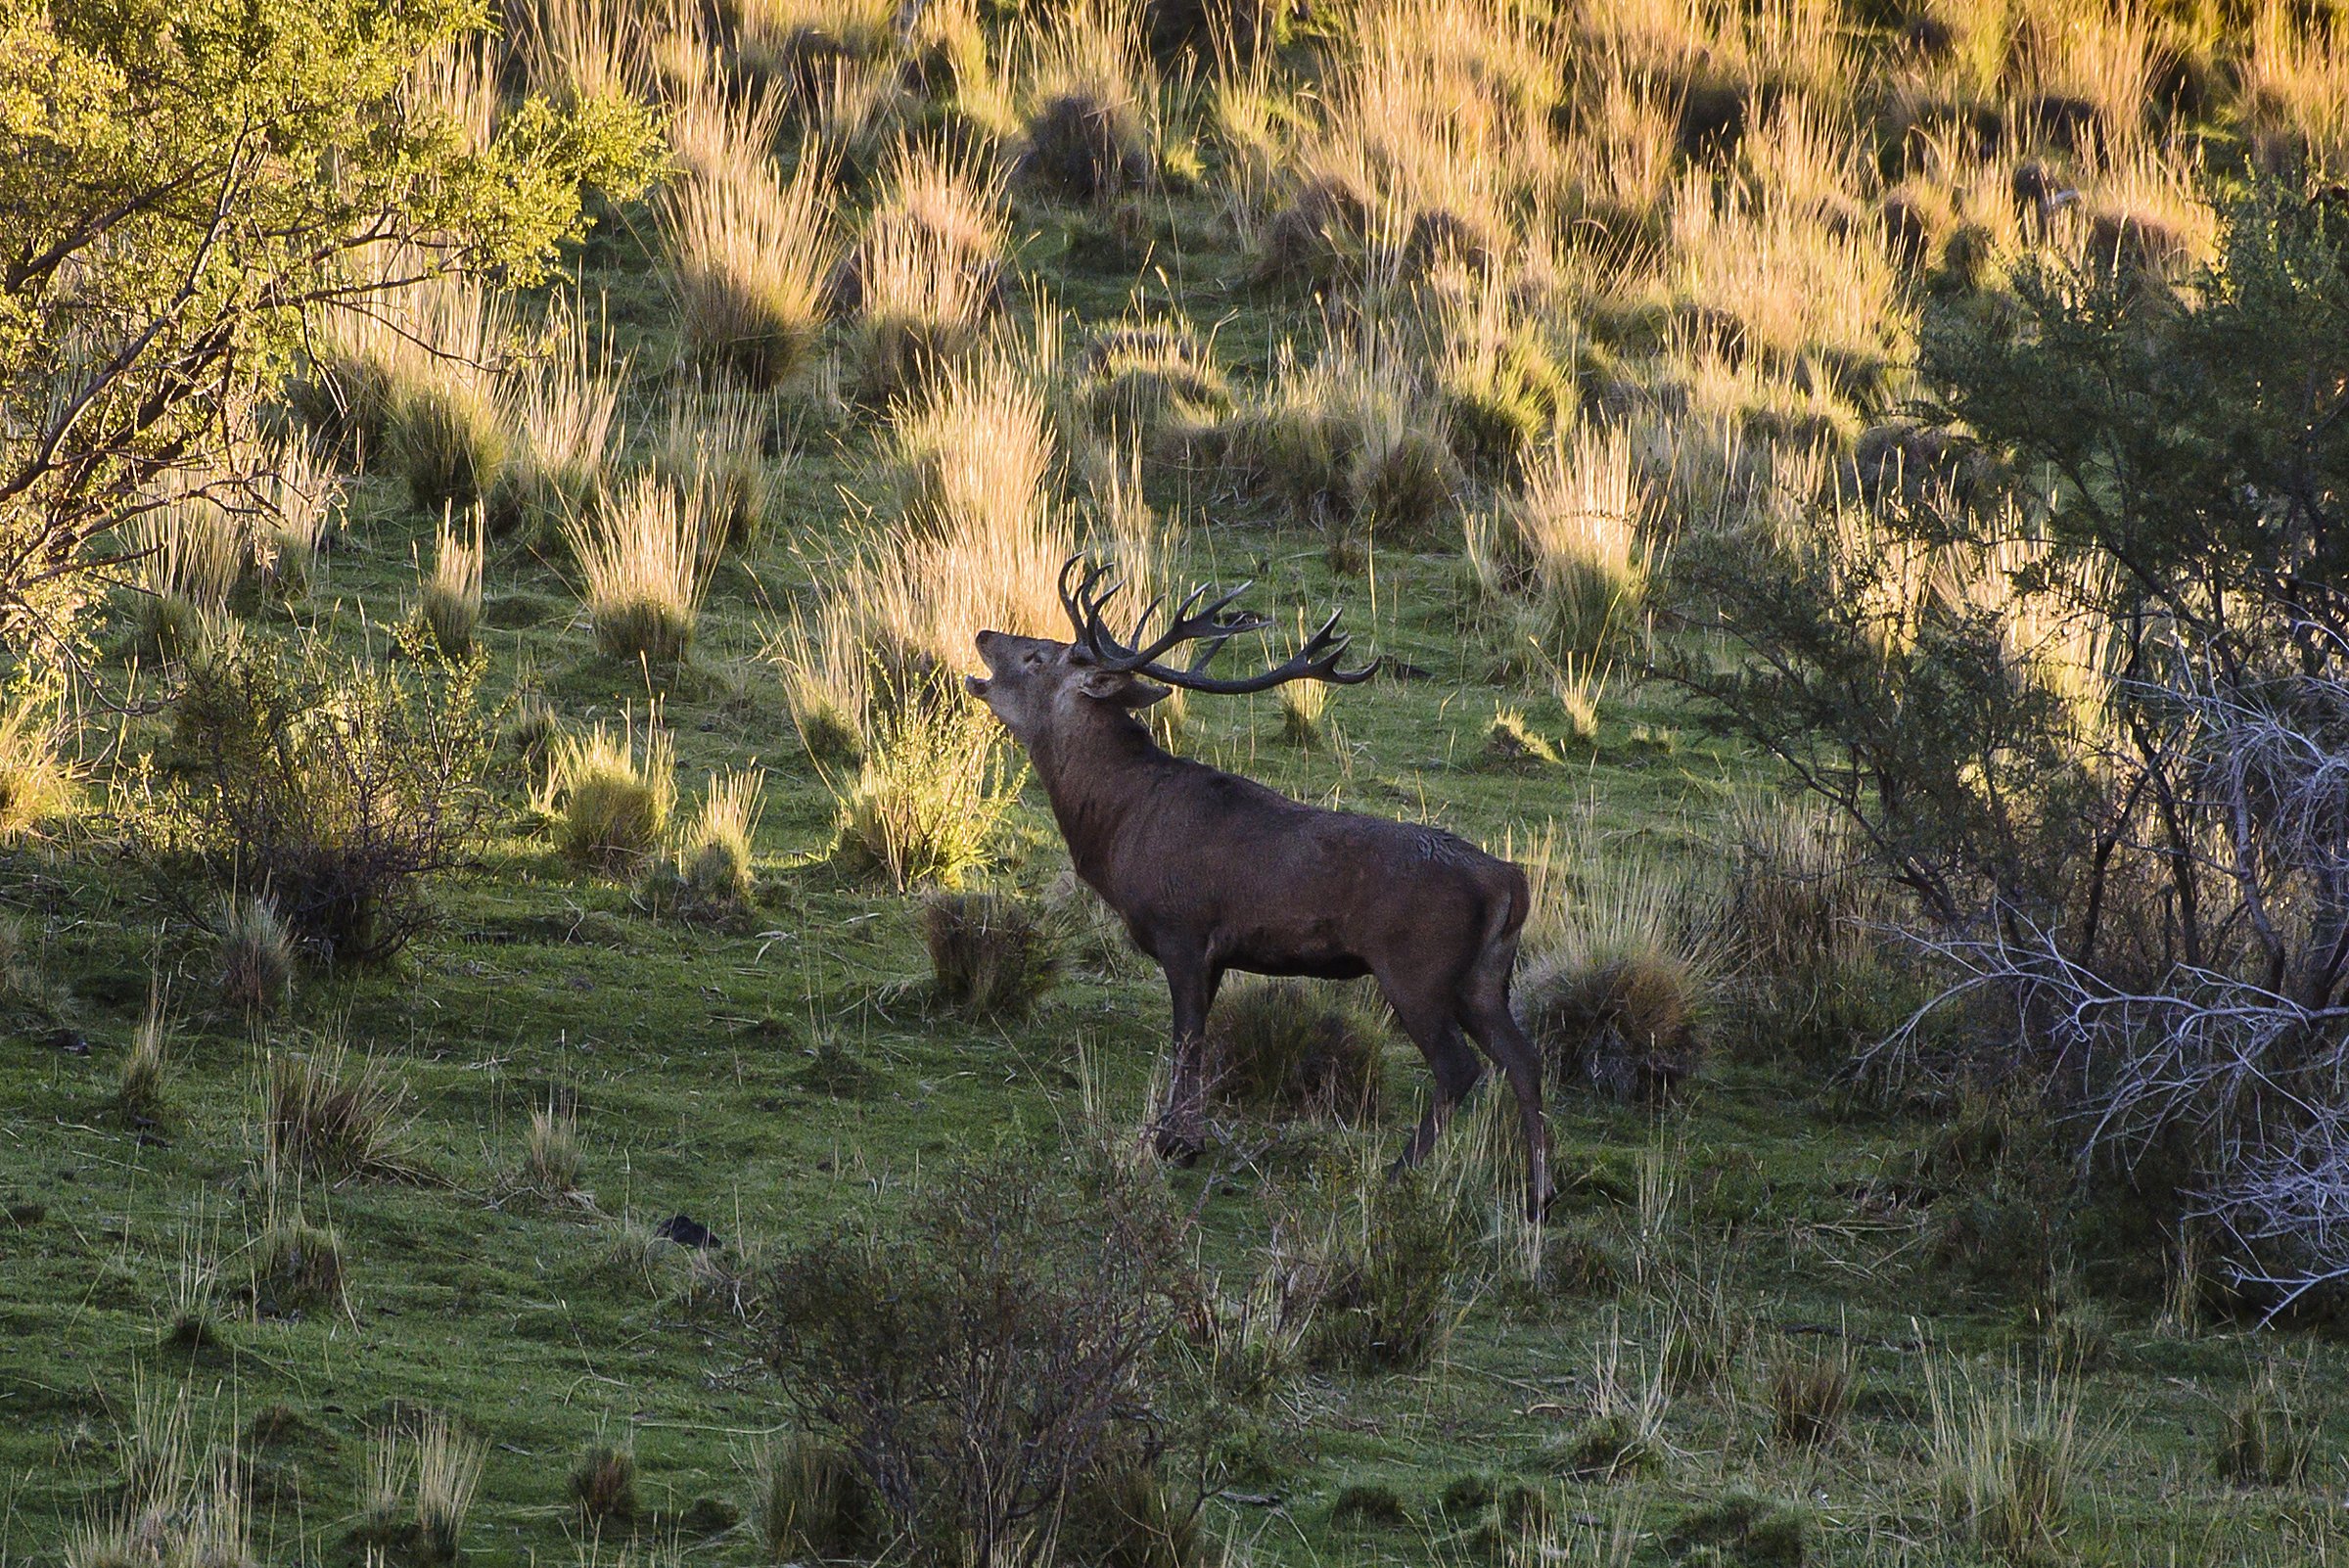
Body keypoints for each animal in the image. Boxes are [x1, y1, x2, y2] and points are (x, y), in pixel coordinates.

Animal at [965, 558, 1553, 1220]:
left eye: (1039, 656)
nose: (985, 634)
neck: (1117, 829)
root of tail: (1510, 880)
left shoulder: (1182, 929)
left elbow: (1187, 1040)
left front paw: (1174, 1143)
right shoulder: (1217, 953)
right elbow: (1196, 1039)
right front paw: (1181, 1139)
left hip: (1417, 966)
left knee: (1460, 1069)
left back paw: (1398, 1173)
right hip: (1483, 976)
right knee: (1524, 1061)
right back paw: (1538, 1193)